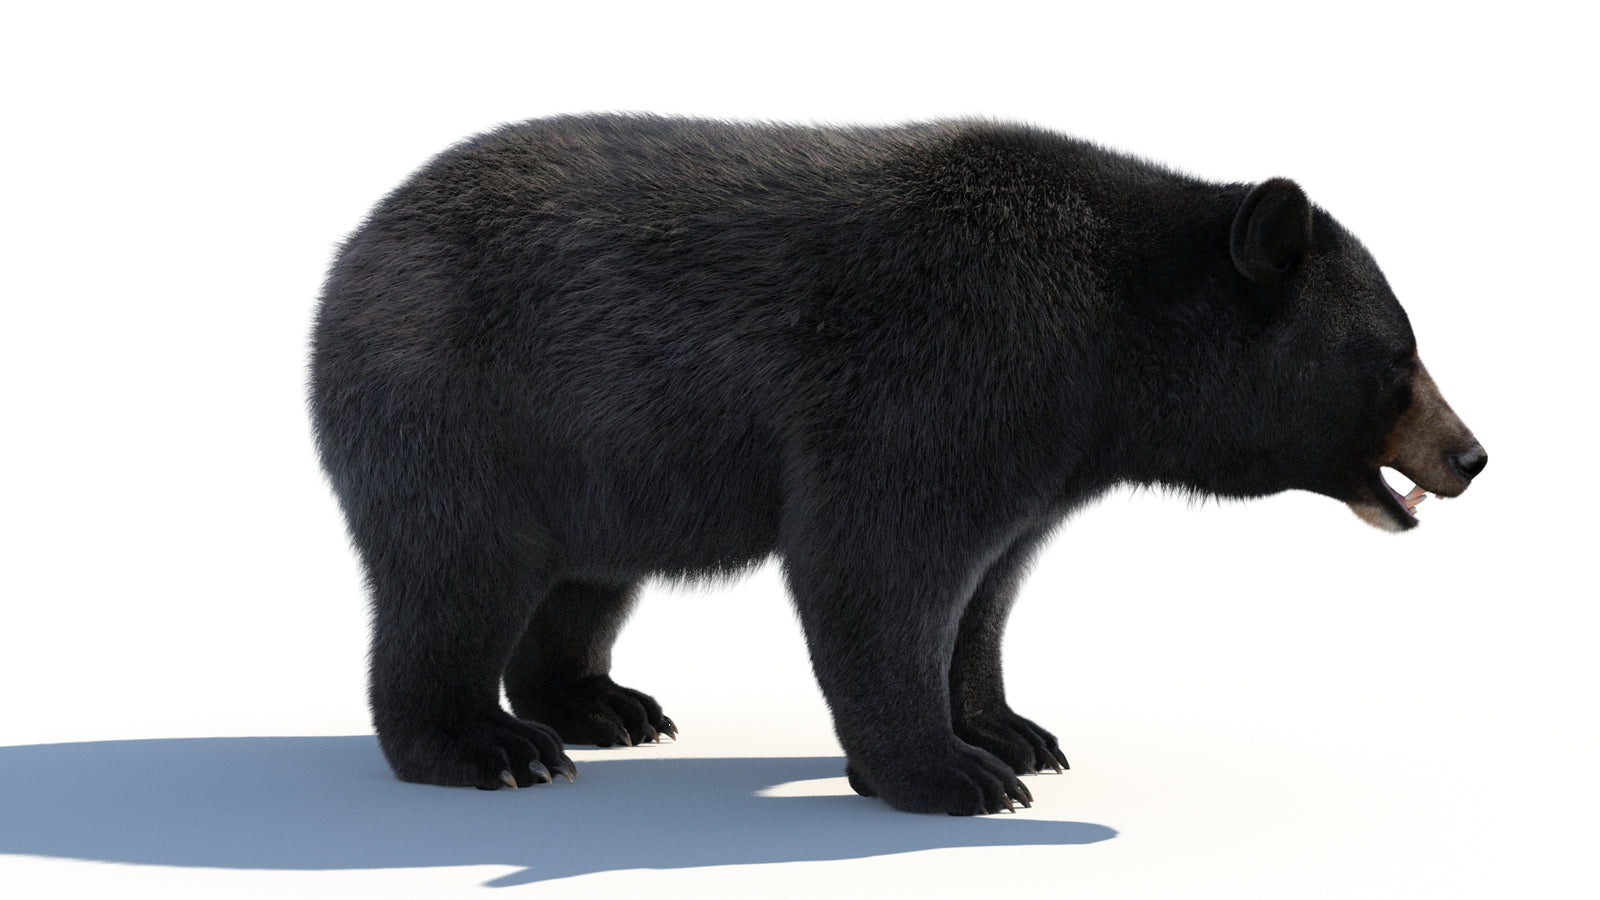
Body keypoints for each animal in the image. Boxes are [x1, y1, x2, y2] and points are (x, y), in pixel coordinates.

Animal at [309, 114, 1486, 815]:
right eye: (1394, 356)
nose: (1470, 454)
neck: (1106, 342)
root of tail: (355, 245)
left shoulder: (1041, 454)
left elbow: (986, 587)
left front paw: (1008, 730)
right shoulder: (942, 368)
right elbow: (877, 563)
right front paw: (946, 773)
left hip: (597, 456)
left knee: (585, 578)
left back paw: (602, 708)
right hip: (462, 408)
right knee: (454, 574)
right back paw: (484, 746)